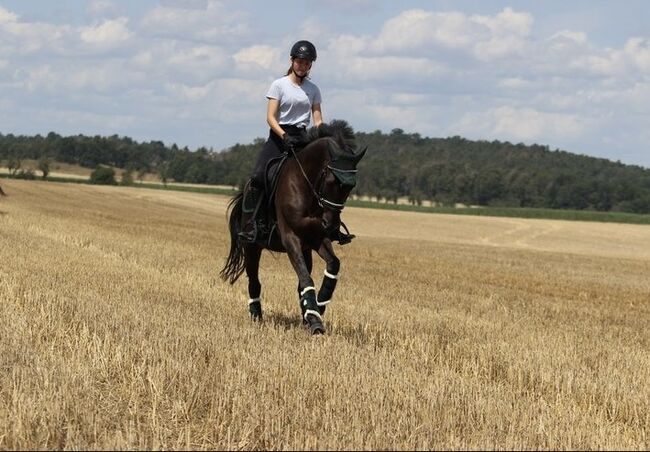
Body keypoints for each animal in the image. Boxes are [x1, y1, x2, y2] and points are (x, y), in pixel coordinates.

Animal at [220, 120, 364, 336]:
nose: (331, 225)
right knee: (254, 280)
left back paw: (308, 314)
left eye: (350, 186)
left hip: (306, 250)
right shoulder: (291, 238)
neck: (306, 186)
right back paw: (256, 316)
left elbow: (332, 265)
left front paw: (319, 306)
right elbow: (305, 278)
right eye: (331, 181)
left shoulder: (316, 238)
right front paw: (316, 321)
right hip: (252, 246)